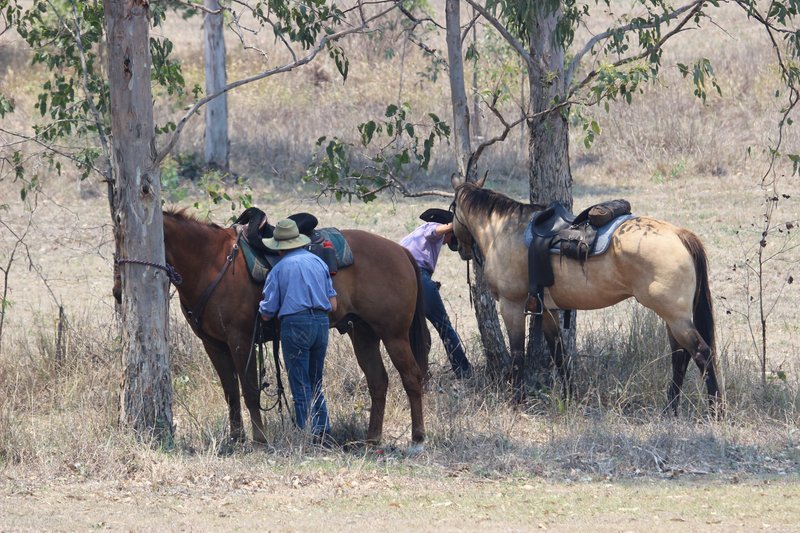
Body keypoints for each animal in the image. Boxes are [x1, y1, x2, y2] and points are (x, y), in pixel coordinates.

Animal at [112, 210, 432, 446]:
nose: (118, 292)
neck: (211, 263)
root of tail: (401, 251)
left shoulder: (241, 339)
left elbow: (250, 390)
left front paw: (259, 439)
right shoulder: (214, 344)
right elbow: (230, 391)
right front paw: (236, 438)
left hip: (394, 336)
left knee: (411, 378)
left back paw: (417, 437)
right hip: (364, 335)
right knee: (378, 382)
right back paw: (372, 439)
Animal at [450, 177, 720, 414]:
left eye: (451, 210)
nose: (457, 247)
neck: (503, 230)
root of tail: (679, 233)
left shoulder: (511, 306)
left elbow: (517, 355)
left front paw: (517, 401)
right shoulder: (548, 310)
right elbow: (559, 354)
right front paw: (568, 397)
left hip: (675, 317)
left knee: (701, 353)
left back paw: (715, 410)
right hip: (673, 318)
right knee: (680, 357)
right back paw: (670, 409)